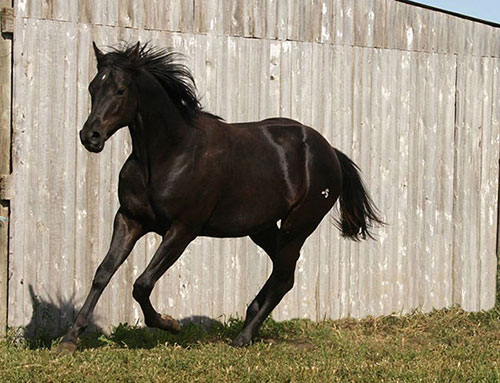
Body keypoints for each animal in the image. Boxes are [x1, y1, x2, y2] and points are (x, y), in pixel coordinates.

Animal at [58, 42, 382, 354]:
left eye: (120, 90)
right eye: (92, 88)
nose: (90, 136)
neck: (169, 154)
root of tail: (330, 151)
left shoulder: (183, 230)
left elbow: (142, 283)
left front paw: (170, 324)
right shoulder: (129, 219)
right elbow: (103, 272)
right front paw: (70, 339)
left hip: (298, 226)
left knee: (283, 277)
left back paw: (243, 337)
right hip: (262, 227)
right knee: (281, 270)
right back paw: (250, 318)